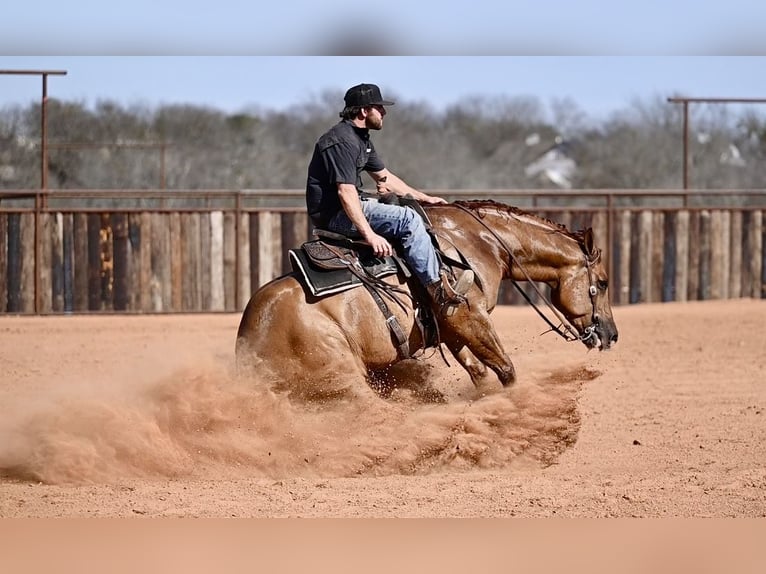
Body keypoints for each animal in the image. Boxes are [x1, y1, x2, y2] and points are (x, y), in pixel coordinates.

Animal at [237, 205, 620, 402]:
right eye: (602, 283)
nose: (611, 334)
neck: (478, 243)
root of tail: (248, 337)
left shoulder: (452, 327)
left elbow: (480, 373)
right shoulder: (468, 316)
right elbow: (506, 371)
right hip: (340, 374)